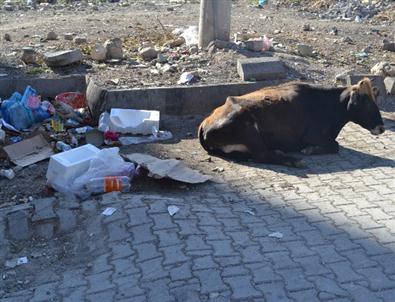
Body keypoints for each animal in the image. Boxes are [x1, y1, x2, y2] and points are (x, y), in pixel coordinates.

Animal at [200, 78, 386, 168]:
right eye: (366, 101)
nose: (382, 127)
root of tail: (204, 124)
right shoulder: (311, 136)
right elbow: (335, 145)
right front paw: (310, 150)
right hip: (249, 129)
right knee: (262, 155)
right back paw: (293, 160)